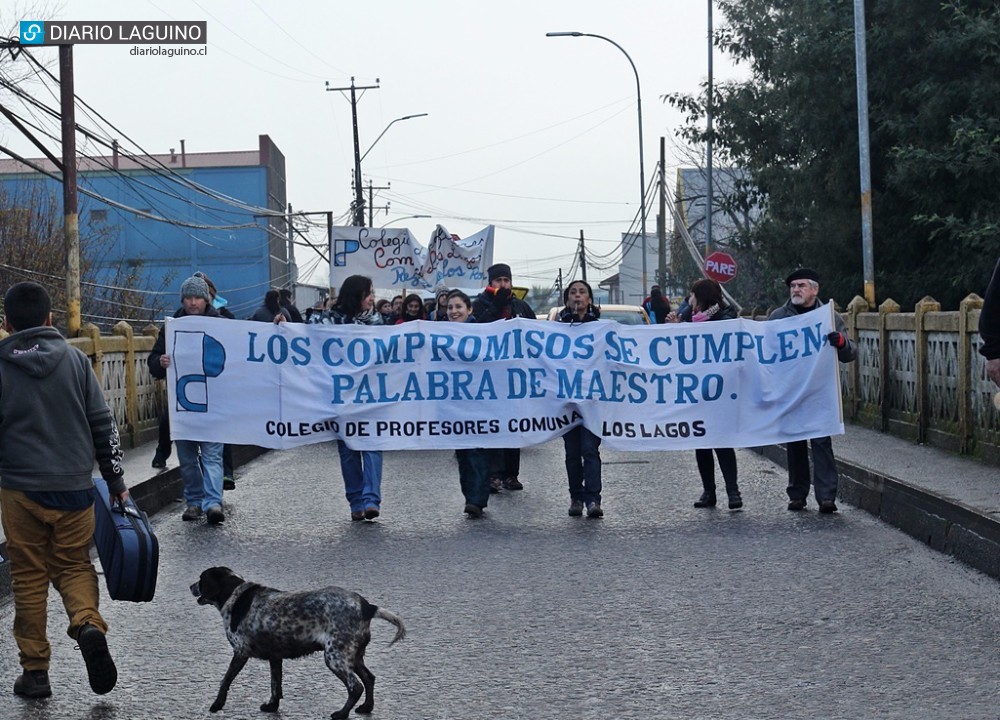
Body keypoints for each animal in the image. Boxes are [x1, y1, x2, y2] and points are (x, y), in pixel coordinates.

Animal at [189, 564, 404, 716]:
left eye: (201, 579)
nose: (190, 586)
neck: (234, 594)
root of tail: (367, 606)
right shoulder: (275, 658)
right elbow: (275, 685)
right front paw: (272, 706)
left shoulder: (240, 652)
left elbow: (225, 680)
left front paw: (217, 705)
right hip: (353, 655)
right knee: (369, 678)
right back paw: (366, 707)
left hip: (336, 657)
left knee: (355, 686)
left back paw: (341, 714)